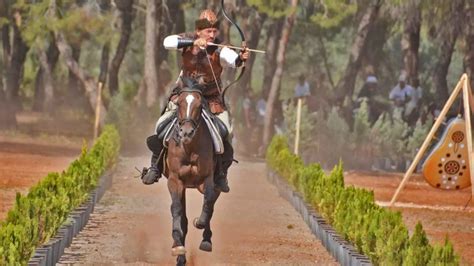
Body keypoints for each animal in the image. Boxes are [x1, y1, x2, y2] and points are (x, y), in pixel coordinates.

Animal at [163, 78, 220, 264]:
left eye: (200, 105)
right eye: (179, 103)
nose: (186, 132)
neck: (189, 148)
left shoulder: (207, 180)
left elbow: (208, 203)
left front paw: (200, 224)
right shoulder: (175, 180)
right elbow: (176, 210)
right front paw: (177, 248)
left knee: (211, 205)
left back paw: (206, 240)